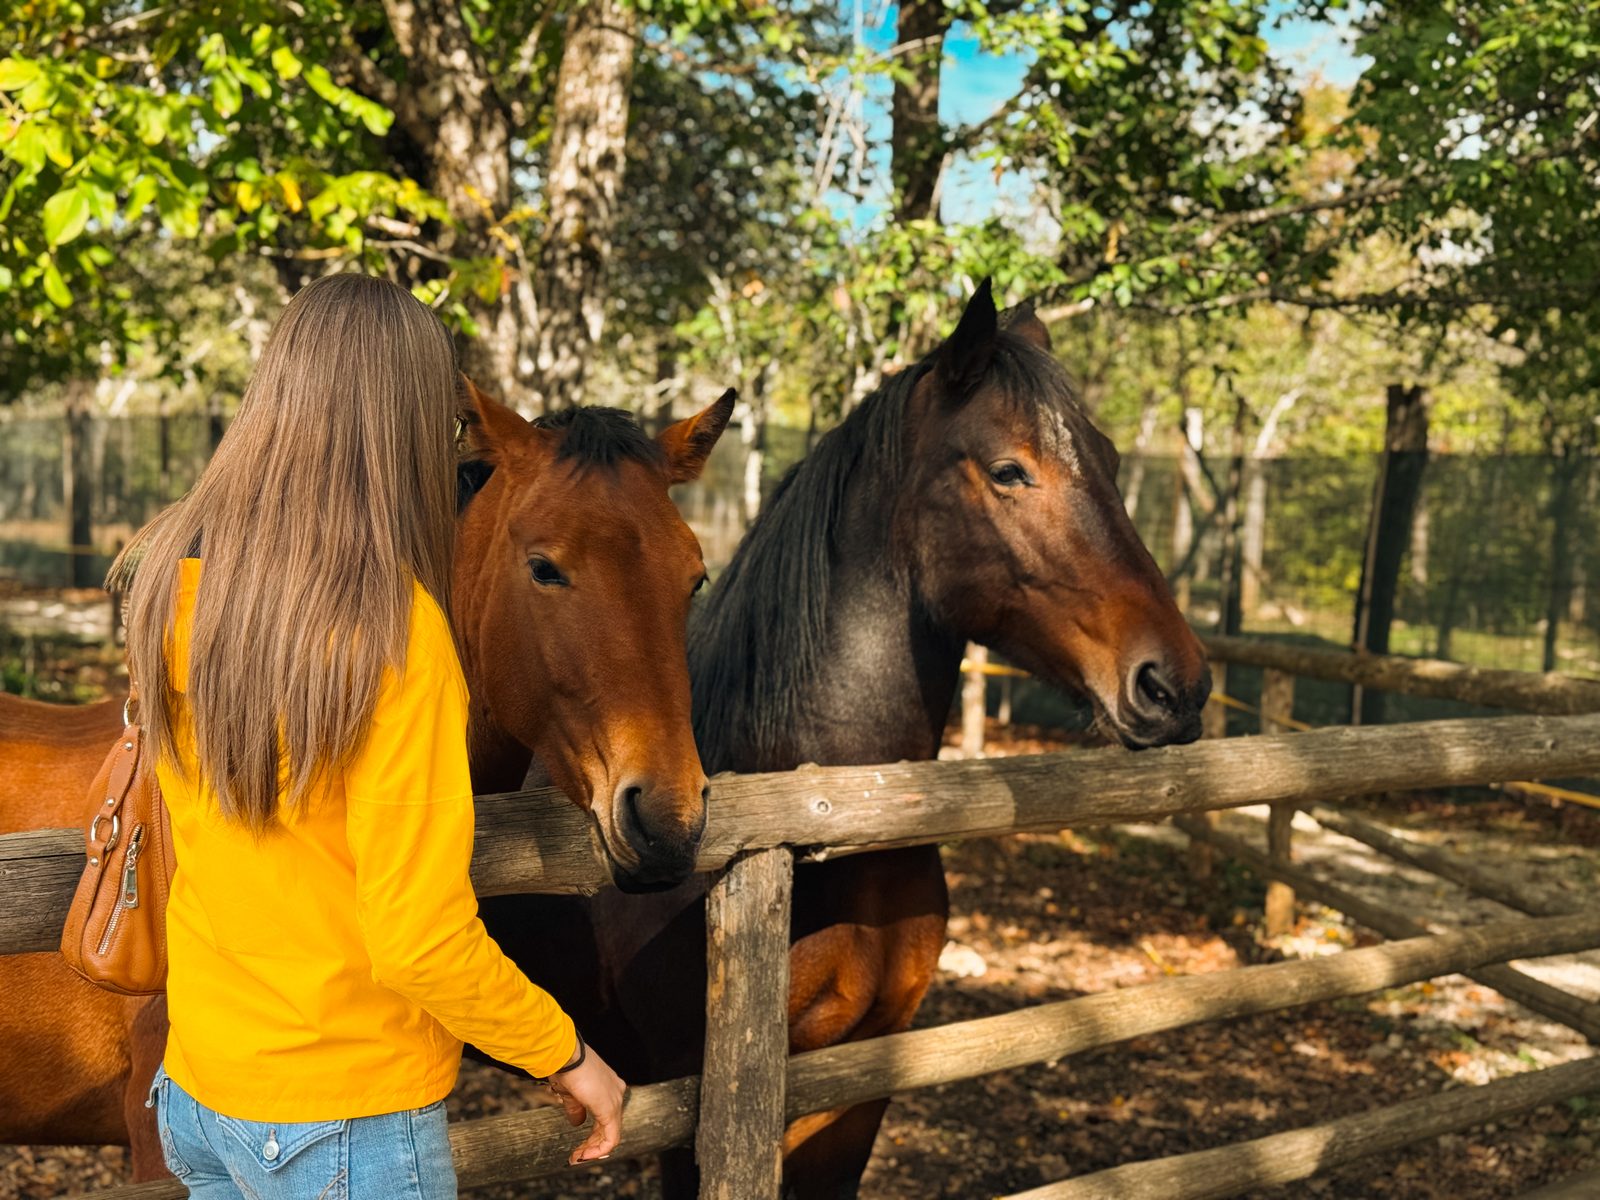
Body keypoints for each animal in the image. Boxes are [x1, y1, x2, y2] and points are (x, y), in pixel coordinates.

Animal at [517, 279, 1212, 1198]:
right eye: (1008, 469)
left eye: (1108, 457)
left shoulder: (860, 1082)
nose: (1176, 684)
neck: (823, 825)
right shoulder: (685, 1116)